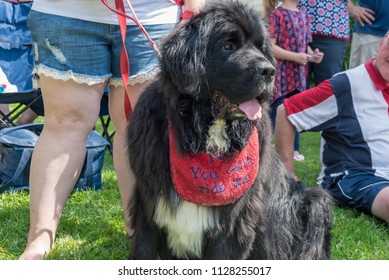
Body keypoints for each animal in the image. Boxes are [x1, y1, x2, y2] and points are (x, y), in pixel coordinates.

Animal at [126, 0, 330, 260]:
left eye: (261, 48)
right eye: (227, 46)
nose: (269, 71)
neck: (206, 133)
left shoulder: (234, 221)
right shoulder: (148, 206)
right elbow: (144, 248)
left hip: (315, 202)